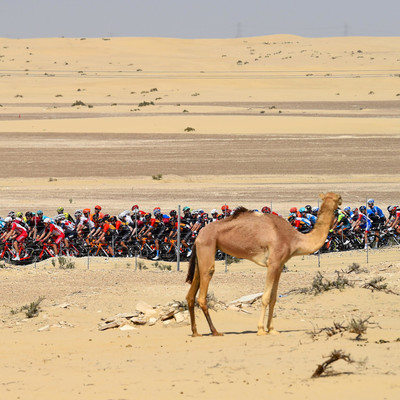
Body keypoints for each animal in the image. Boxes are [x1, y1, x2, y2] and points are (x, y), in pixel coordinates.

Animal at [184, 192, 340, 336]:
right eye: (338, 197)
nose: (341, 203)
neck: (294, 239)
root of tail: (198, 236)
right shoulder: (273, 263)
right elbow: (265, 298)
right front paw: (261, 330)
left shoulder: (279, 265)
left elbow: (273, 298)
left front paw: (272, 329)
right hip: (207, 245)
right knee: (203, 291)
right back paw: (215, 331)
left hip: (201, 254)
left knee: (191, 294)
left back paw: (195, 332)